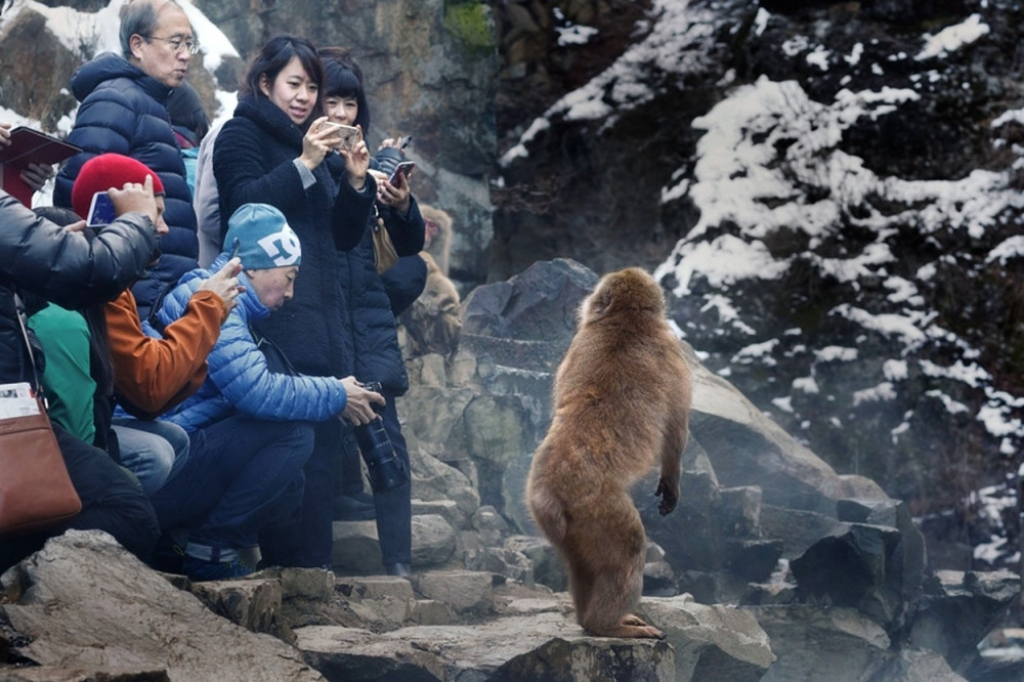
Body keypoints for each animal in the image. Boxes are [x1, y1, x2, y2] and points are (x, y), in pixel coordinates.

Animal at [524, 266, 692, 638]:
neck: (624, 319)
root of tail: (548, 492)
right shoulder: (674, 353)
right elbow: (675, 428)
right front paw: (671, 484)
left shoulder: (575, 346)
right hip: (598, 508)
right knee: (628, 548)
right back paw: (609, 624)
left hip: (562, 524)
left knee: (581, 564)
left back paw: (590, 621)